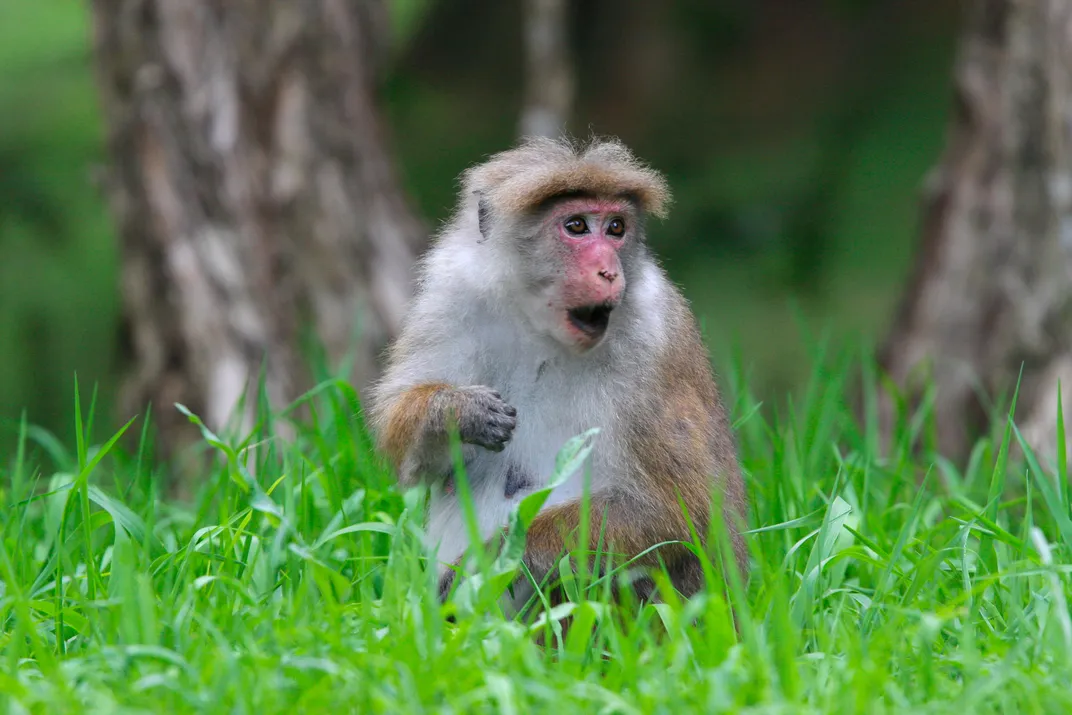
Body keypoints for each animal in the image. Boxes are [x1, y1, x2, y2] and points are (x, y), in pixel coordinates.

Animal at [366, 137, 746, 617]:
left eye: (616, 227)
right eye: (577, 225)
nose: (609, 271)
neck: (541, 330)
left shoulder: (655, 342)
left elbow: (677, 510)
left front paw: (494, 556)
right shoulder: (449, 298)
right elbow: (408, 452)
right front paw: (456, 413)